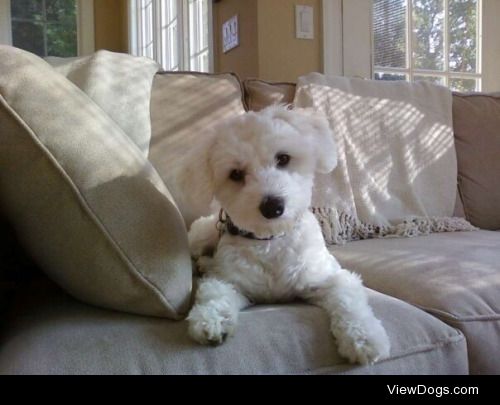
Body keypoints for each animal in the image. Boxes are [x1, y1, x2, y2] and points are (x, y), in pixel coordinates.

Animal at [180, 105, 390, 362]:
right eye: (235, 174)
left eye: (283, 158)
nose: (273, 206)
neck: (271, 240)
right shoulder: (231, 280)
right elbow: (215, 292)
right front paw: (211, 320)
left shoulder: (328, 277)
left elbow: (347, 299)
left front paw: (364, 337)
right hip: (201, 236)